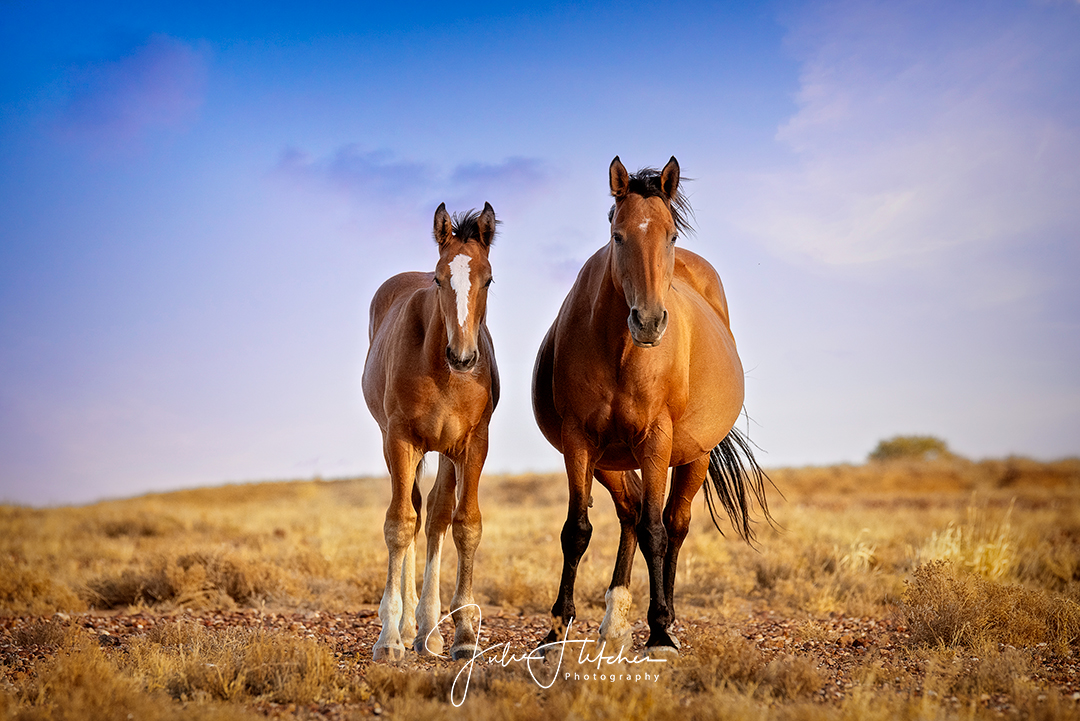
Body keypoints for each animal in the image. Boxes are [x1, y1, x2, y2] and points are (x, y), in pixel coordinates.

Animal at [362, 202, 499, 662]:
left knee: (436, 515)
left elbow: (464, 524)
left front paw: (463, 633)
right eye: (439, 278)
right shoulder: (400, 440)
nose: (463, 357)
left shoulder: (473, 445)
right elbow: (400, 523)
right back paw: (407, 628)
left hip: (442, 452)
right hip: (400, 444)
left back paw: (428, 630)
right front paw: (389, 637)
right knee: (415, 512)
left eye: (488, 278)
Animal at [531, 156, 771, 658]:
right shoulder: (578, 441)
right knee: (630, 511)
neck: (620, 351)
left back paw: (668, 619)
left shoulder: (656, 441)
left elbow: (656, 533)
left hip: (694, 456)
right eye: (618, 235)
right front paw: (557, 628)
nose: (648, 321)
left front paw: (659, 632)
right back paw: (614, 620)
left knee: (672, 525)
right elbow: (576, 531)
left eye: (671, 236)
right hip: (609, 461)